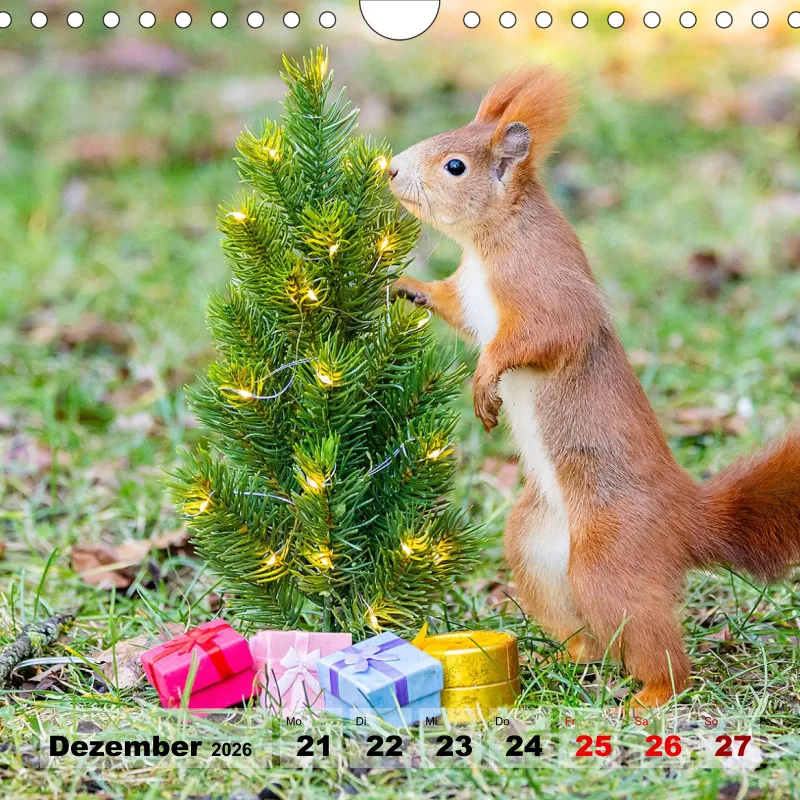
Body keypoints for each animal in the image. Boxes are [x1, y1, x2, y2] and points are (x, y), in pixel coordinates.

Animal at [387, 66, 800, 708]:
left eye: (454, 165)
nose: (389, 169)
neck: (489, 242)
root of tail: (686, 518)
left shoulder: (547, 290)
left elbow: (541, 338)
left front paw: (485, 383)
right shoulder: (471, 298)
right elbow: (453, 306)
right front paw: (406, 286)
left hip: (609, 557)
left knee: (654, 643)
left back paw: (653, 693)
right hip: (534, 543)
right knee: (587, 627)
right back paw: (568, 656)